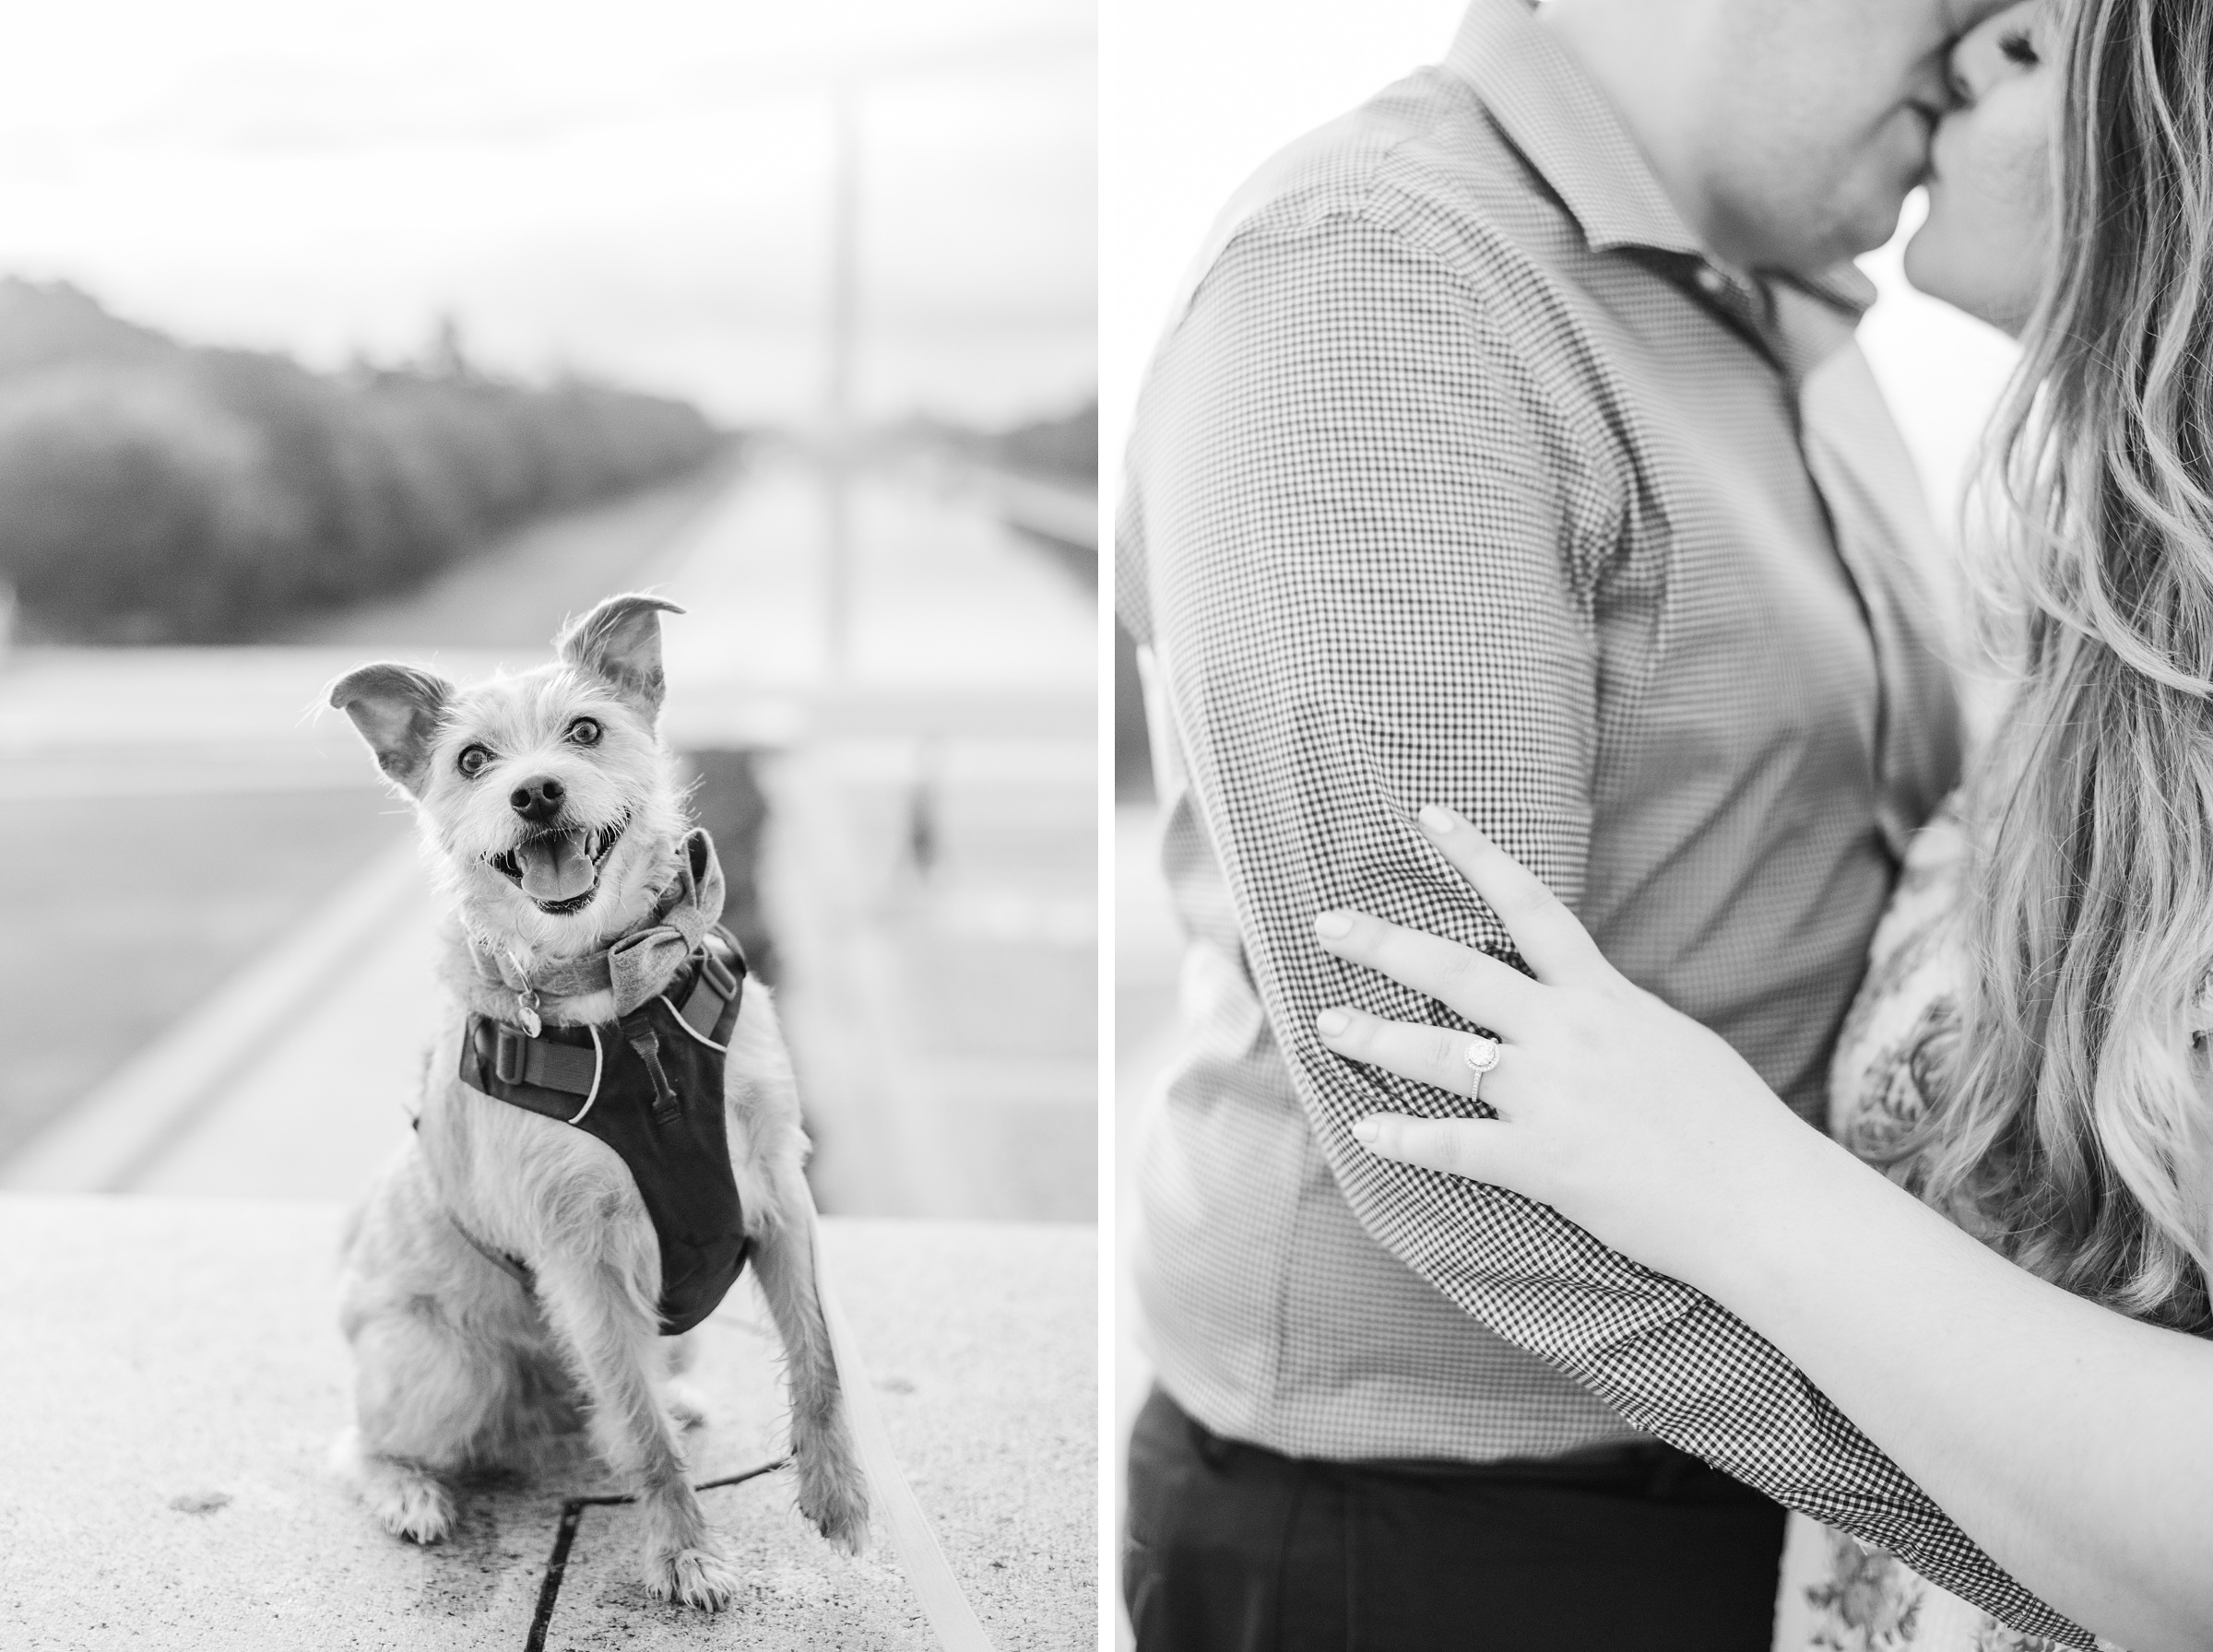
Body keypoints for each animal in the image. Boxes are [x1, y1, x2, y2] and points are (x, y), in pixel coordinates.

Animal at [323, 596, 867, 1619]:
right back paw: (410, 1491)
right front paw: (684, 1554)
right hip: (447, 1367)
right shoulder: (583, 1260)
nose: (536, 794)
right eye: (472, 761)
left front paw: (838, 1492)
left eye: (584, 731)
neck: (625, 1005)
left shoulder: (780, 1191)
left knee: (622, 1400)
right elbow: (642, 1435)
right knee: (366, 1443)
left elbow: (818, 1357)